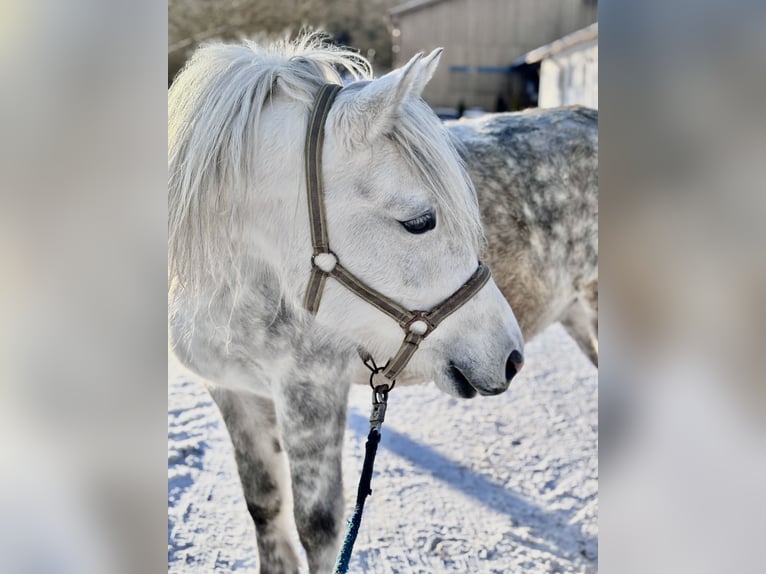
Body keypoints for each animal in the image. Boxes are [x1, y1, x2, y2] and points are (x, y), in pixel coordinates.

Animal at [168, 34, 524, 573]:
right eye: (420, 222)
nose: (512, 356)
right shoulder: (231, 390)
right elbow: (264, 504)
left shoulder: (312, 390)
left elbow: (318, 527)